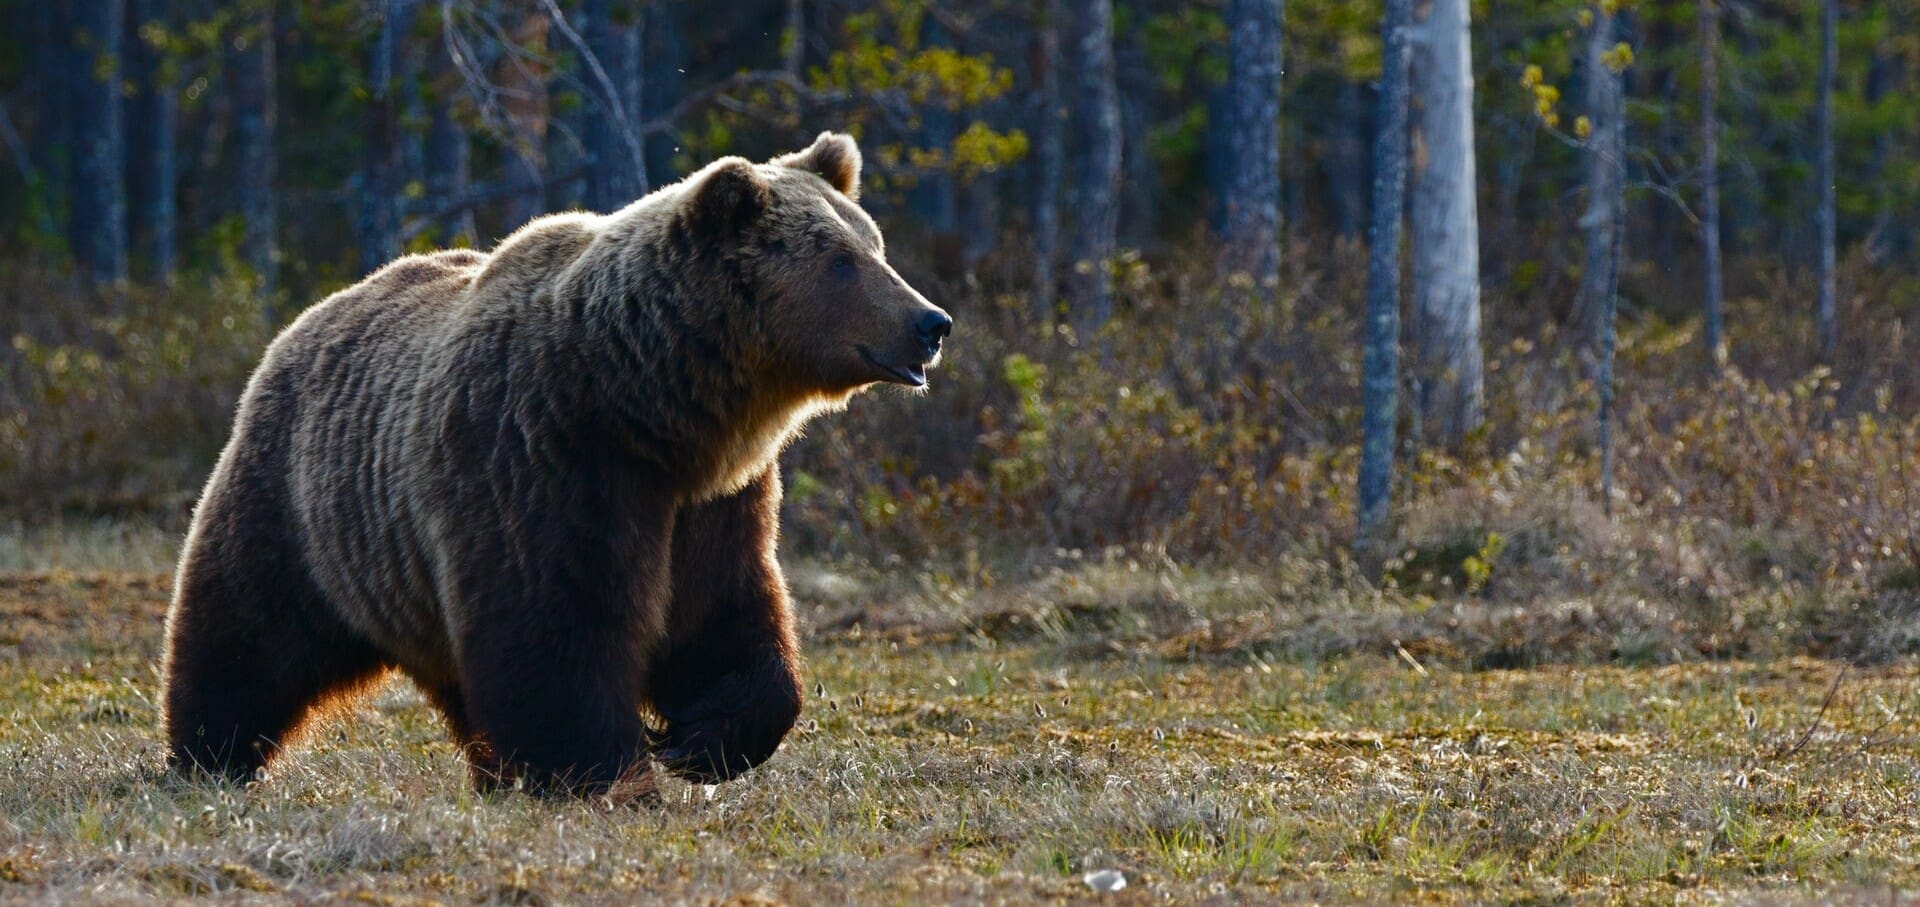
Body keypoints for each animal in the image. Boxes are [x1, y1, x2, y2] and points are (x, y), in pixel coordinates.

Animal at [159, 132, 950, 798]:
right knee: (246, 632)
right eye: (841, 260)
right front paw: (607, 770)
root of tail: (307, 318)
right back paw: (208, 755)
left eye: (874, 244)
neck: (649, 406)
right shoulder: (542, 457)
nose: (931, 322)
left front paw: (701, 739)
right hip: (304, 504)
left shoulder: (714, 499)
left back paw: (492, 771)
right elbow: (556, 625)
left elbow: (725, 612)